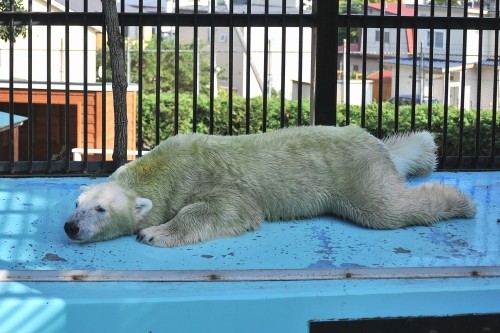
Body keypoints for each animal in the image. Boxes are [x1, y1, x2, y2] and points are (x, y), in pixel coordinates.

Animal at [63, 126, 476, 245]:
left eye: (101, 210)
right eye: (77, 204)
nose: (70, 227)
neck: (164, 167)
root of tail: (373, 142)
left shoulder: (204, 176)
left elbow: (230, 207)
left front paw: (155, 232)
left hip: (354, 173)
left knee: (385, 208)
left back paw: (460, 200)